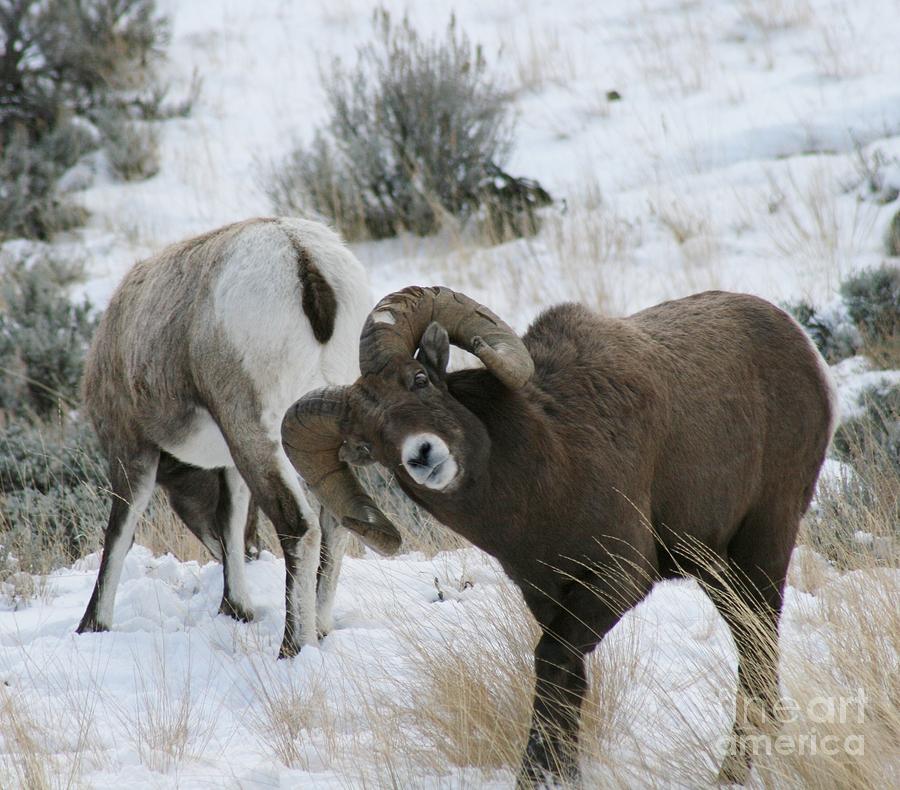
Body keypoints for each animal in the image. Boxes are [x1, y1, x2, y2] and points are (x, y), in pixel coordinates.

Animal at [75, 217, 400, 656]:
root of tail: (299, 254)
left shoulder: (131, 449)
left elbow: (119, 533)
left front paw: (92, 626)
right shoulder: (229, 465)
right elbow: (231, 518)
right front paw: (235, 607)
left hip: (256, 434)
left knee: (299, 526)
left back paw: (291, 648)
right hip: (323, 432)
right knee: (335, 520)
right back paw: (319, 629)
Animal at [284, 288, 840, 788]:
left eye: (418, 380)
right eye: (370, 441)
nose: (422, 455)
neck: (548, 469)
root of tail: (801, 345)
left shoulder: (619, 577)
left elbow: (551, 664)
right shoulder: (548, 595)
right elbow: (570, 680)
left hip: (764, 543)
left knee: (758, 652)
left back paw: (731, 774)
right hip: (716, 570)